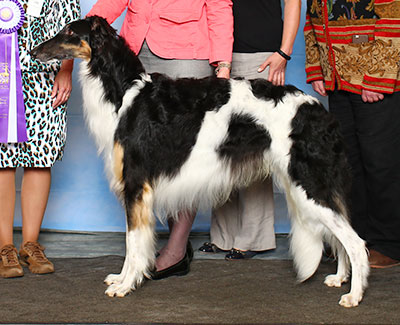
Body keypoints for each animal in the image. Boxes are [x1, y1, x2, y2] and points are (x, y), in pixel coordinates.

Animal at [32, 16, 368, 306]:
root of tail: (317, 109)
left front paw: (126, 285)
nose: (34, 50)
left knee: (356, 243)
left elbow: (133, 243)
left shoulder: (136, 186)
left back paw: (353, 295)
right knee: (342, 239)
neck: (125, 94)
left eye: (70, 32)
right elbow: (134, 244)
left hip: (309, 185)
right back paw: (339, 278)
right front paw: (122, 278)